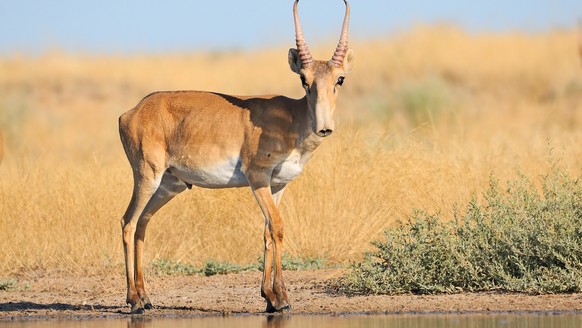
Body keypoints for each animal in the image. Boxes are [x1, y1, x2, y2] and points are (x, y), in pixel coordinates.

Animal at [120, 0, 352, 314]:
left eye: (340, 78)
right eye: (304, 79)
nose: (324, 127)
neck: (292, 118)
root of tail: (131, 112)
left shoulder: (278, 185)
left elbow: (267, 231)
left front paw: (269, 296)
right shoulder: (258, 179)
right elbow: (278, 227)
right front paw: (282, 299)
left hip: (169, 185)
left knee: (142, 223)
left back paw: (146, 297)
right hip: (146, 177)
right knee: (128, 222)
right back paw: (133, 300)